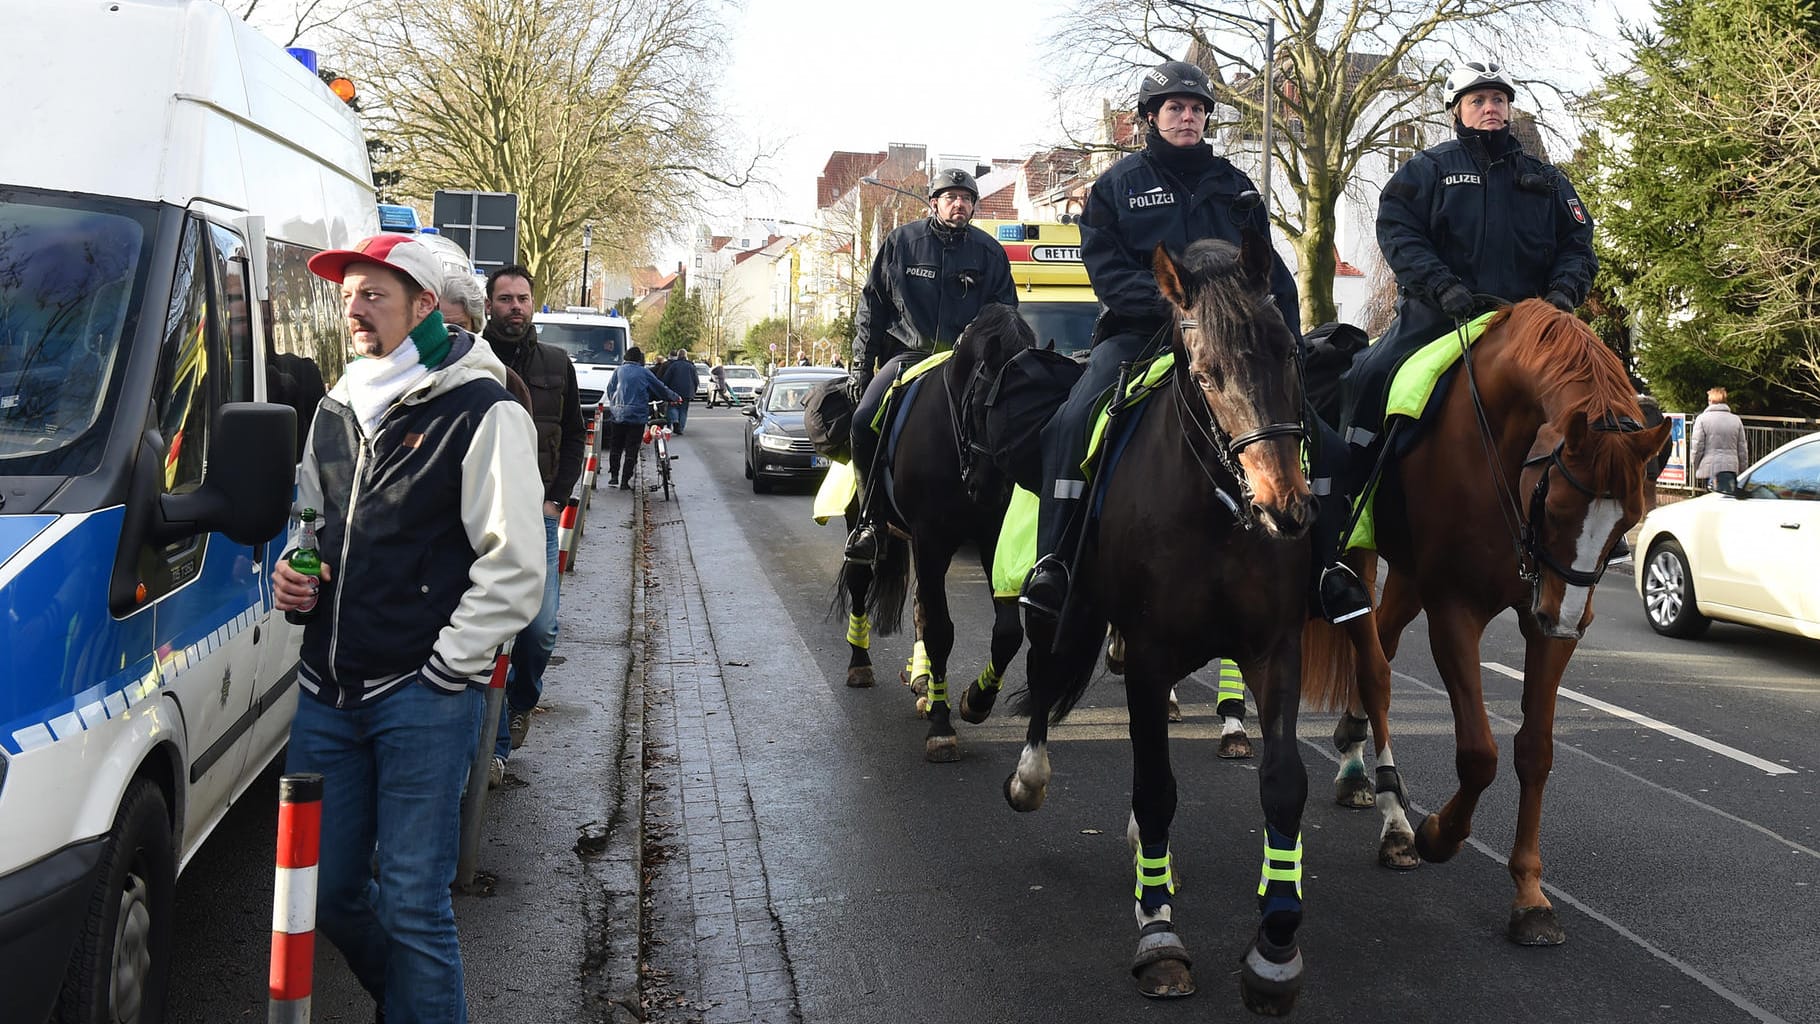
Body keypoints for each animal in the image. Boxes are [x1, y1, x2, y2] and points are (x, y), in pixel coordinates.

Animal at [833, 303, 1033, 760]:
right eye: (983, 406)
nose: (989, 489)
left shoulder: (991, 539)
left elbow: (1007, 632)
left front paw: (976, 699)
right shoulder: (930, 540)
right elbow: (942, 631)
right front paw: (942, 727)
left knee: (920, 607)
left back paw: (924, 684)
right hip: (870, 527)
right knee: (860, 580)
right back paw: (860, 664)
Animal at [1004, 236, 1317, 1011]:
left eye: (1290, 356)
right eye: (1205, 375)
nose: (1286, 507)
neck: (1216, 509)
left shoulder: (1275, 650)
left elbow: (1283, 782)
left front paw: (1276, 945)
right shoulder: (1146, 655)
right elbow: (1155, 791)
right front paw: (1159, 938)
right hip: (1070, 609)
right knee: (1047, 675)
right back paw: (1030, 776)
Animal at [1303, 300, 1667, 953]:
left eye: (1629, 519)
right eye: (1556, 508)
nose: (1565, 618)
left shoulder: (1542, 623)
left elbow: (1534, 751)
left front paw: (1529, 894)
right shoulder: (1454, 612)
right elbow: (1479, 753)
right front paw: (1437, 834)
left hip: (1410, 580)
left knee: (1384, 647)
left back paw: (1353, 757)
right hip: (1362, 557)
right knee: (1375, 671)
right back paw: (1394, 821)